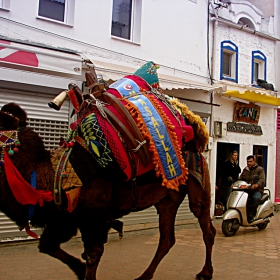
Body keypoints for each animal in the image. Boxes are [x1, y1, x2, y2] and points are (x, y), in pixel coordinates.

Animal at [0, 61, 215, 280]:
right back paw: (143, 276)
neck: (52, 173)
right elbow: (47, 245)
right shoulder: (65, 217)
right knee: (167, 238)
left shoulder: (92, 214)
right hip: (167, 198)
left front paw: (83, 270)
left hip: (198, 181)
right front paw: (78, 269)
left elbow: (92, 254)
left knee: (206, 227)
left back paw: (205, 272)